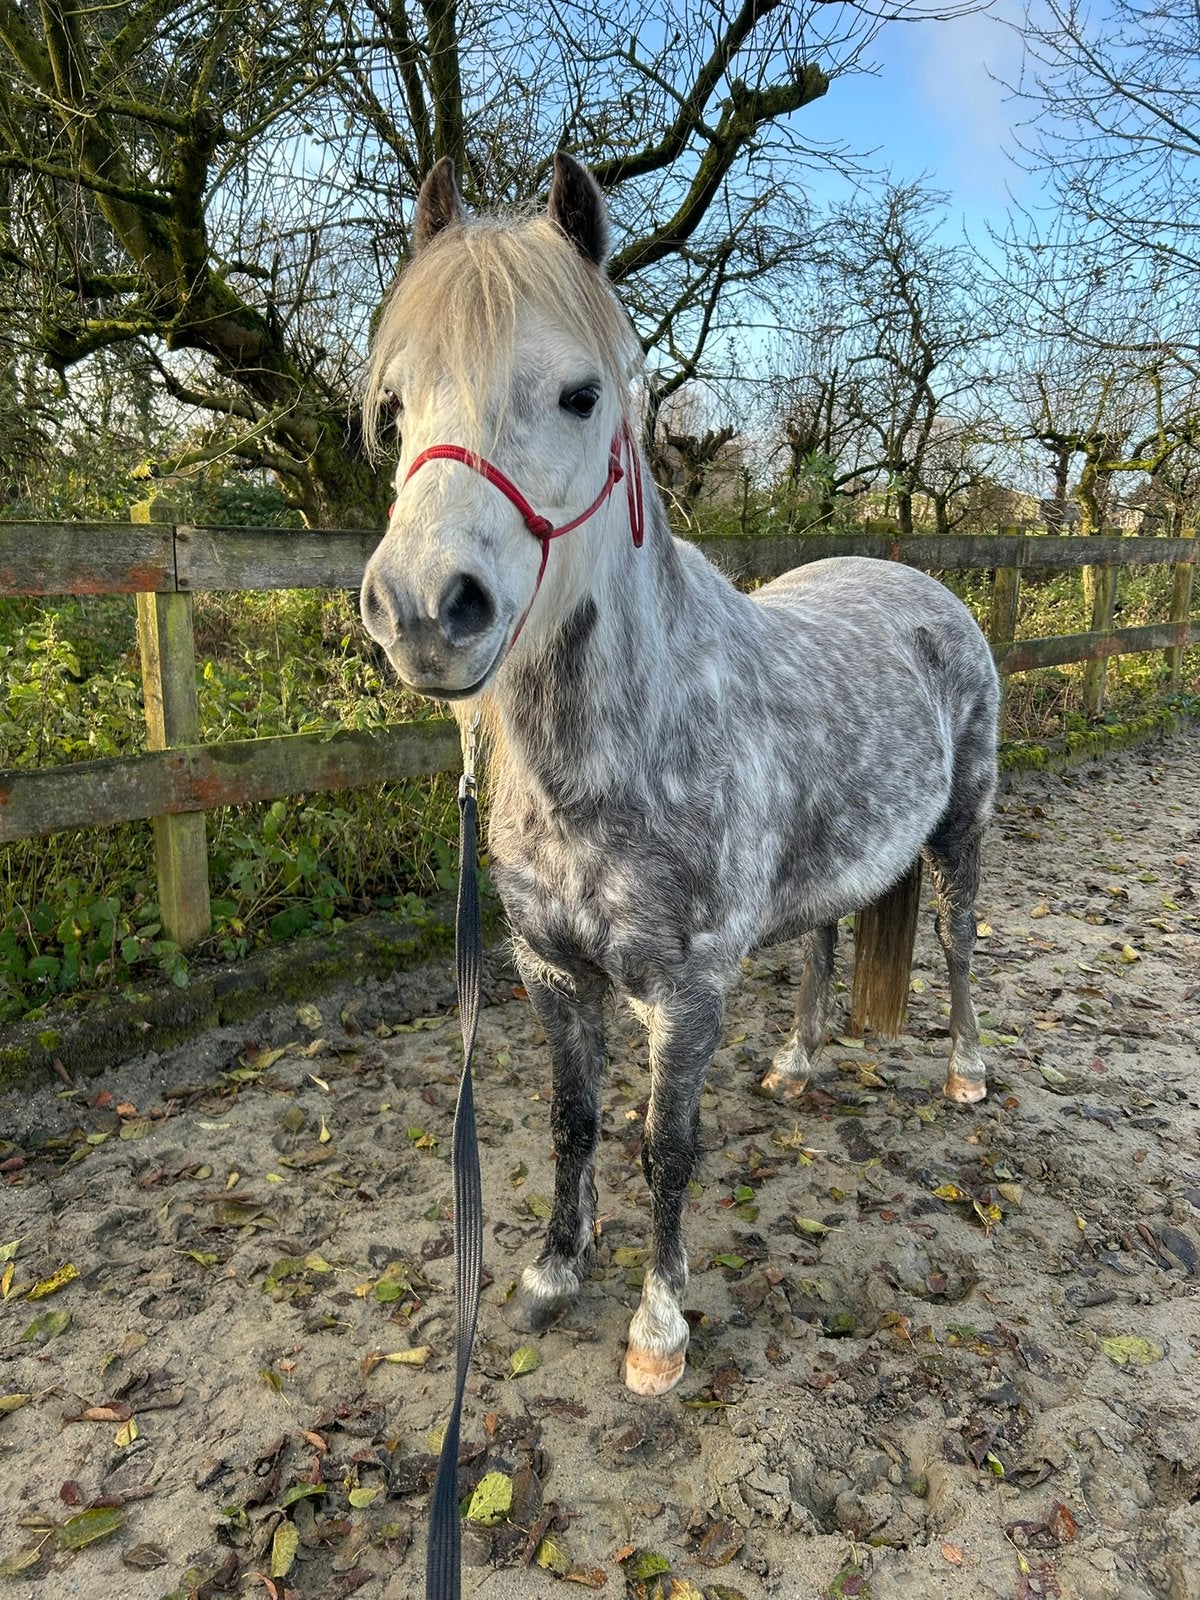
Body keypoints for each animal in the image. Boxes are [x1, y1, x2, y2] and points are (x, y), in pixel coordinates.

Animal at [359, 154, 1000, 1398]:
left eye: (579, 395)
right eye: (397, 408)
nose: (422, 607)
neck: (614, 757)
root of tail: (925, 591)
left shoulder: (688, 992)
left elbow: (665, 1144)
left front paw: (657, 1329)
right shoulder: (552, 973)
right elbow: (572, 1121)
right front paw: (553, 1271)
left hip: (962, 832)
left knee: (954, 945)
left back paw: (964, 1075)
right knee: (824, 940)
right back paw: (796, 1065)